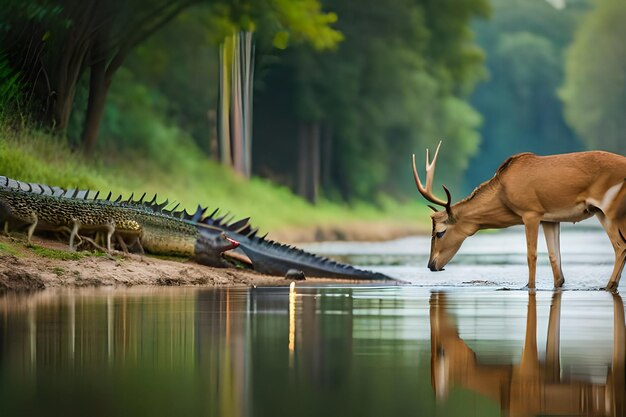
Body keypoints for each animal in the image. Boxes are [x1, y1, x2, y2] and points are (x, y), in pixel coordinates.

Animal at [410, 142, 624, 290]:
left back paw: (608, 286)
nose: (431, 265)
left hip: (610, 213)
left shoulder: (531, 214)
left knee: (620, 246)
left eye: (440, 232)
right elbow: (556, 263)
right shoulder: (550, 219)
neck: (503, 189)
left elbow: (532, 255)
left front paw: (529, 286)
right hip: (602, 213)